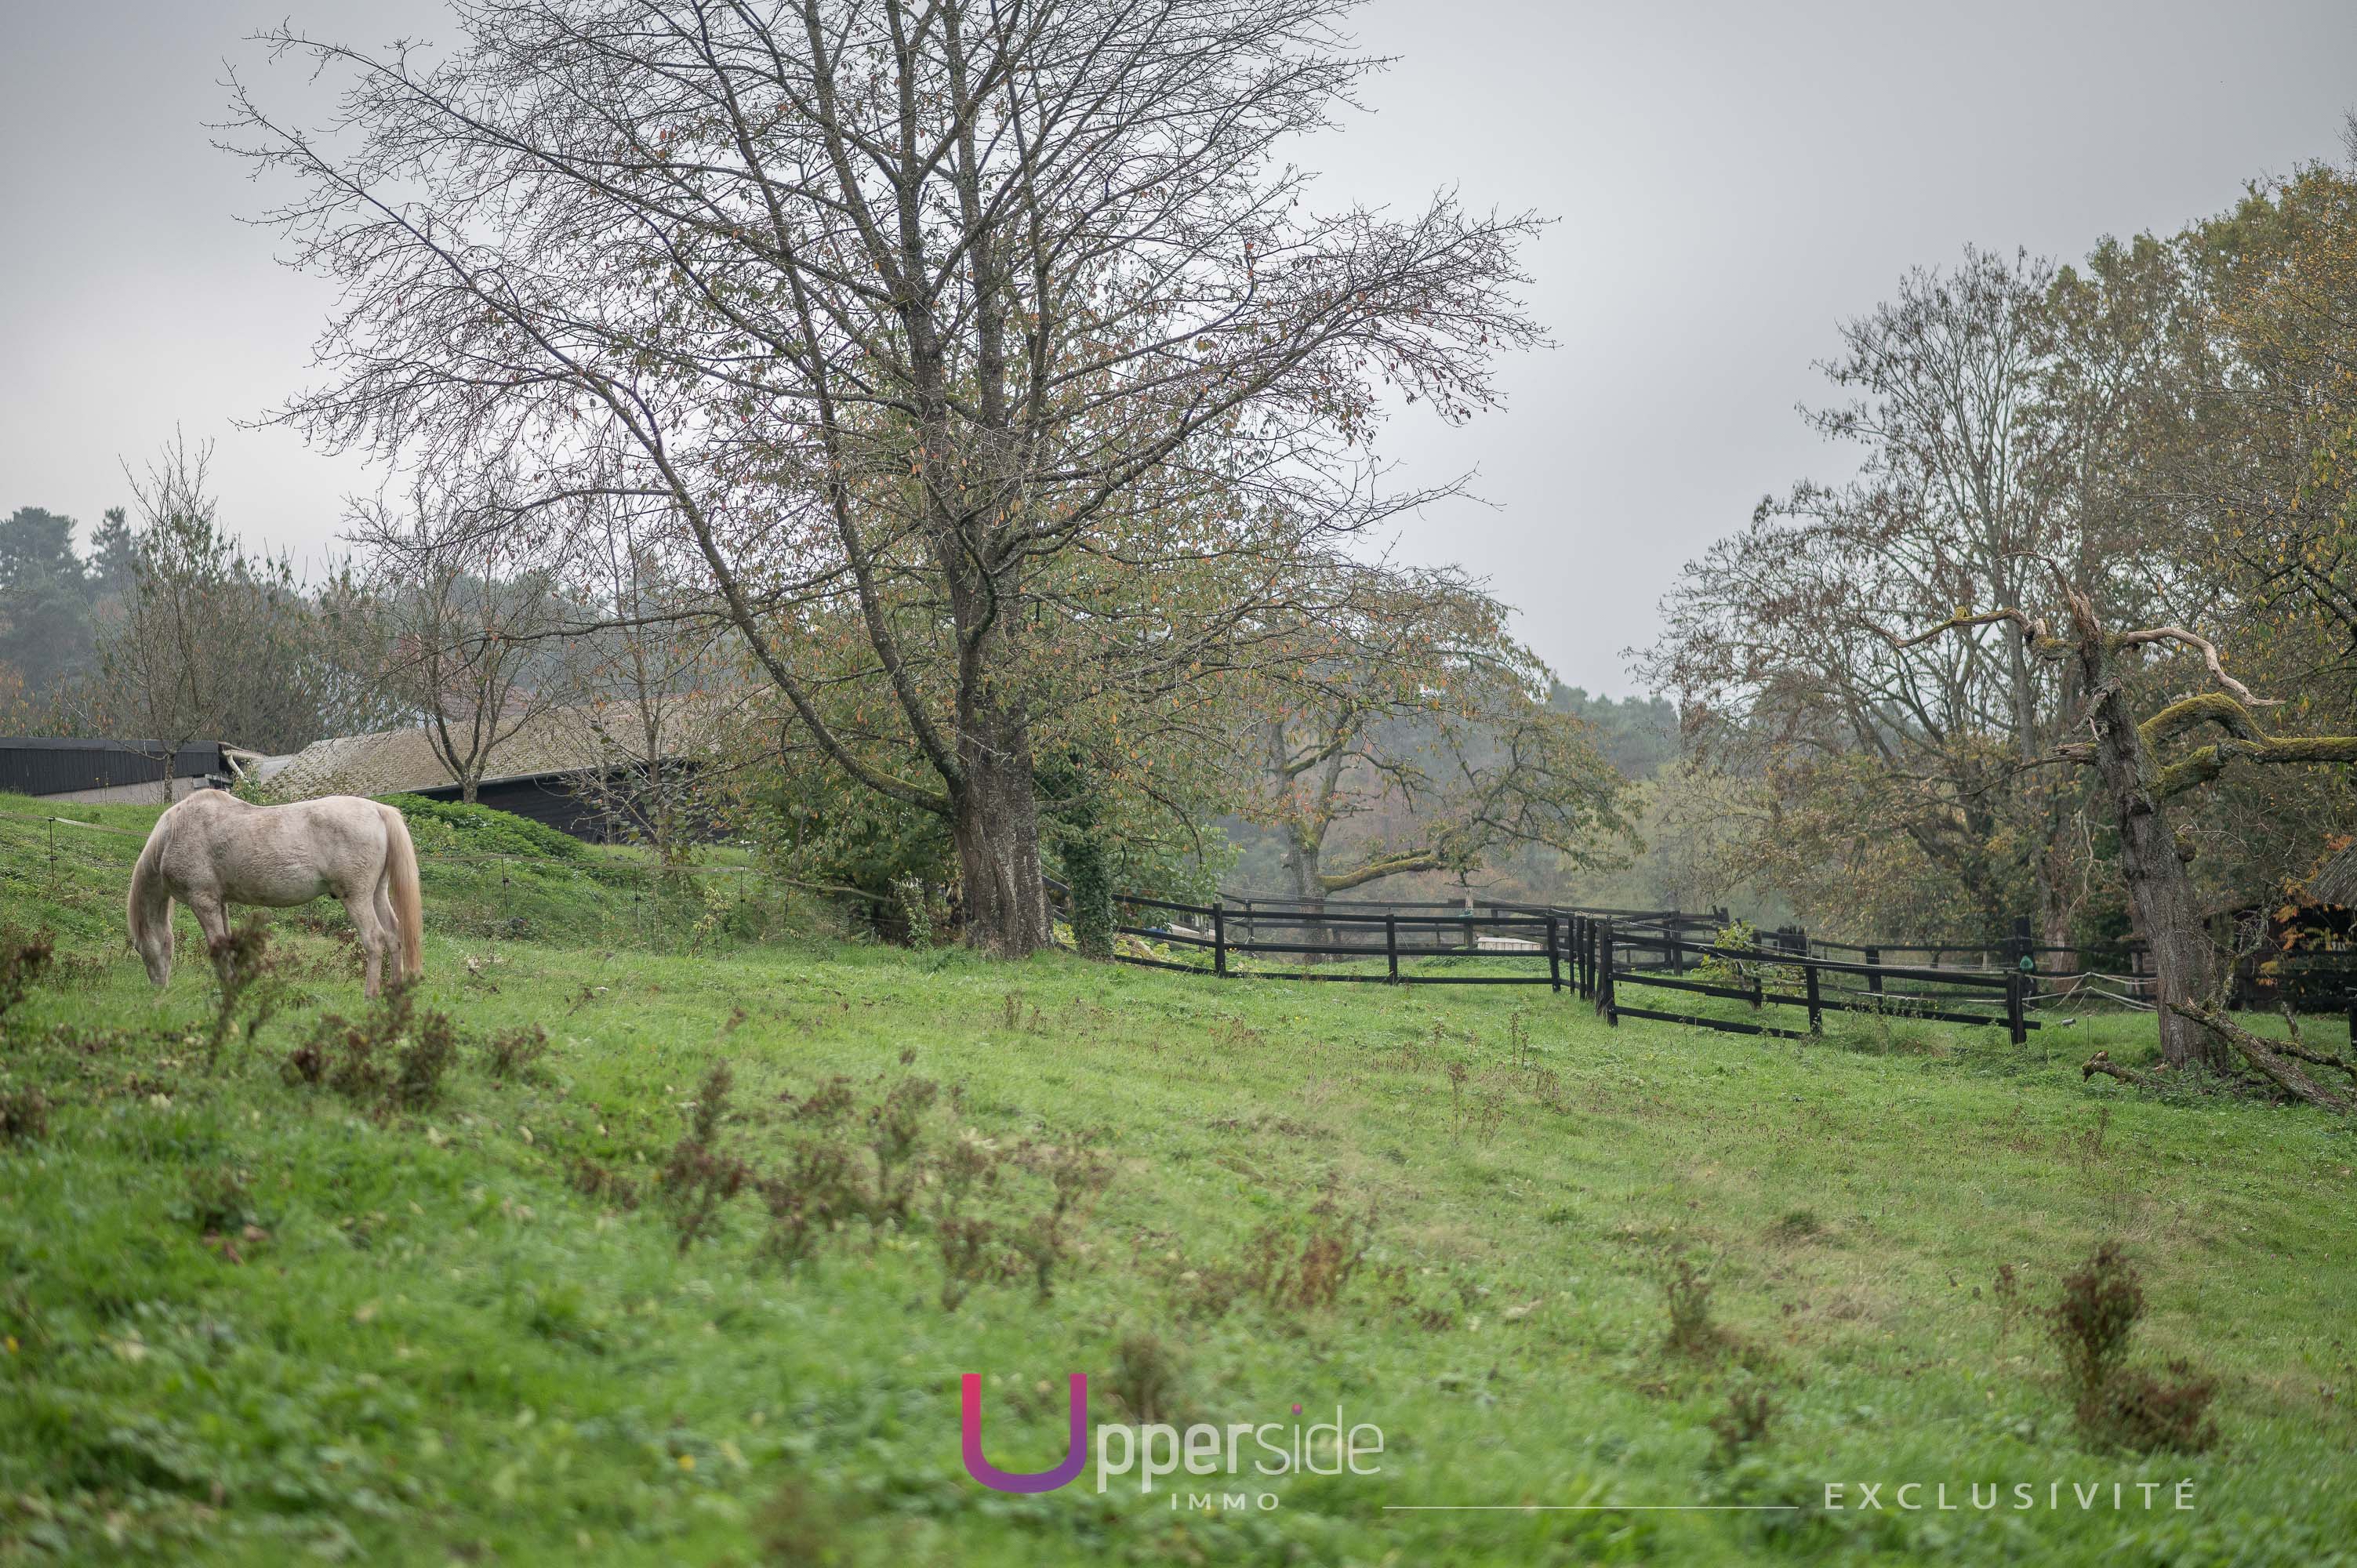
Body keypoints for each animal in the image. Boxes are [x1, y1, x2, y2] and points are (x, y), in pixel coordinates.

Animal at [129, 787, 427, 995]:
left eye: (140, 950)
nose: (159, 988)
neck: (172, 835)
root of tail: (378, 810)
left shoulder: (203, 902)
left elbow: (217, 946)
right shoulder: (220, 902)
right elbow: (228, 943)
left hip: (357, 897)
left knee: (375, 940)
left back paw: (370, 995)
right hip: (376, 894)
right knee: (393, 936)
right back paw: (395, 991)